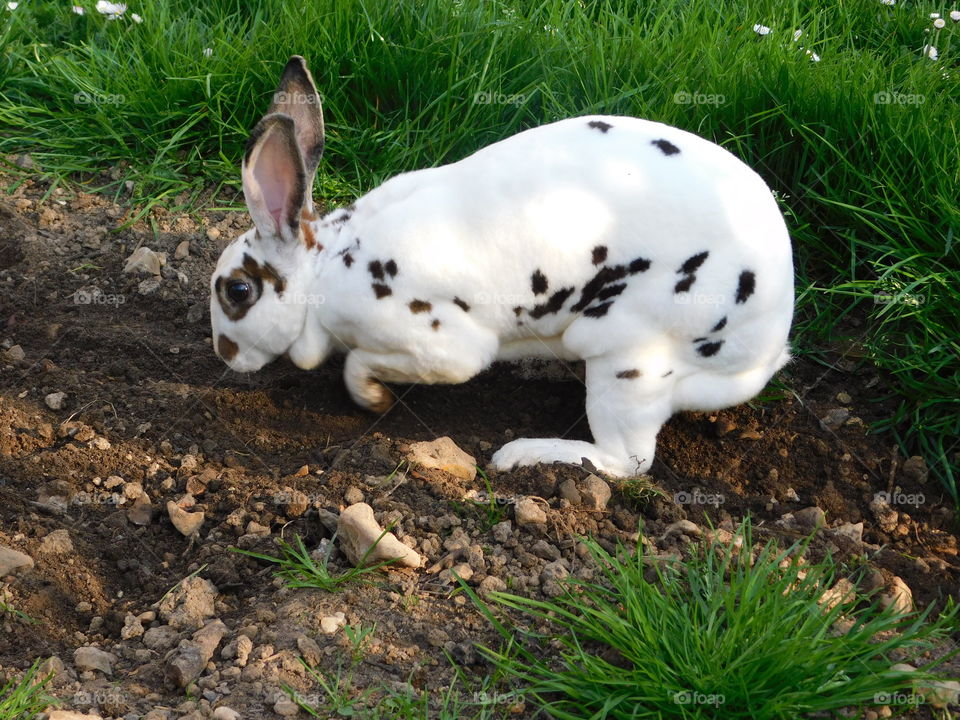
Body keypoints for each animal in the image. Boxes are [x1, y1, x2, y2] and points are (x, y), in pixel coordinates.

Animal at [210, 56, 794, 479]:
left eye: (237, 291)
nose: (224, 355)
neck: (328, 266)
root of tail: (763, 353)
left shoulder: (441, 347)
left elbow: (362, 364)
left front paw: (373, 400)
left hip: (630, 359)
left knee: (626, 462)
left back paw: (522, 455)